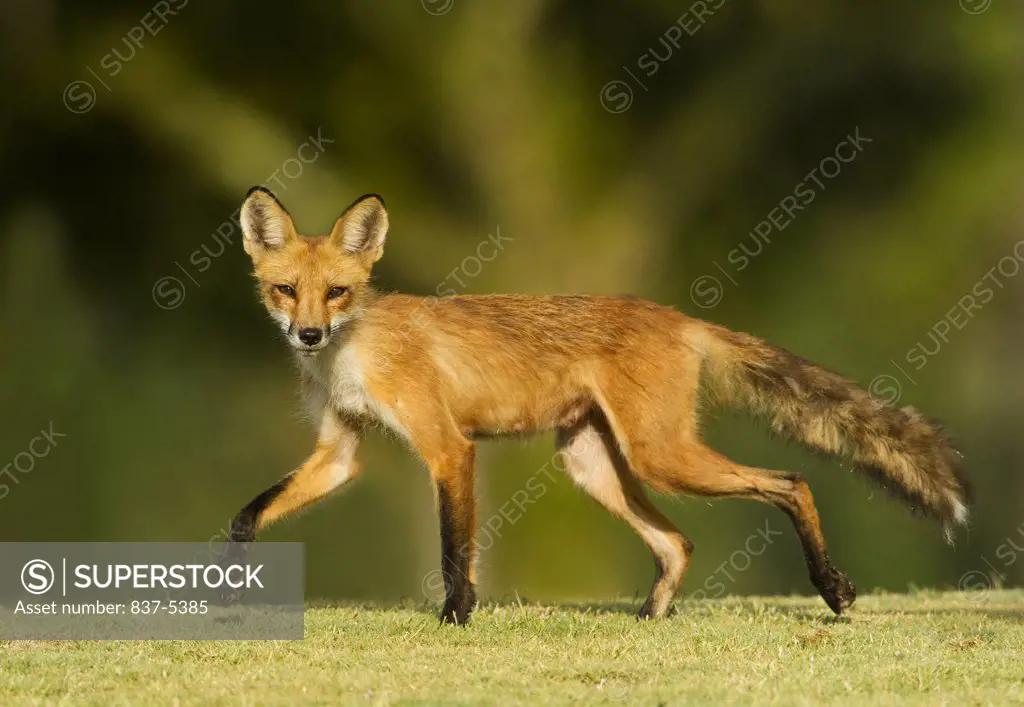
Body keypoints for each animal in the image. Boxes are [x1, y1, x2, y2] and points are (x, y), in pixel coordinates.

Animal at [228, 184, 970, 618]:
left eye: (338, 292)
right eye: (286, 290)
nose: (309, 334)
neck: (352, 354)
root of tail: (679, 317)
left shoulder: (448, 448)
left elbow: (454, 548)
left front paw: (456, 617)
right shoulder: (339, 451)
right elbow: (248, 515)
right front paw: (232, 575)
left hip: (660, 457)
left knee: (791, 481)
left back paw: (832, 587)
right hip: (594, 465)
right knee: (679, 541)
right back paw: (651, 617)